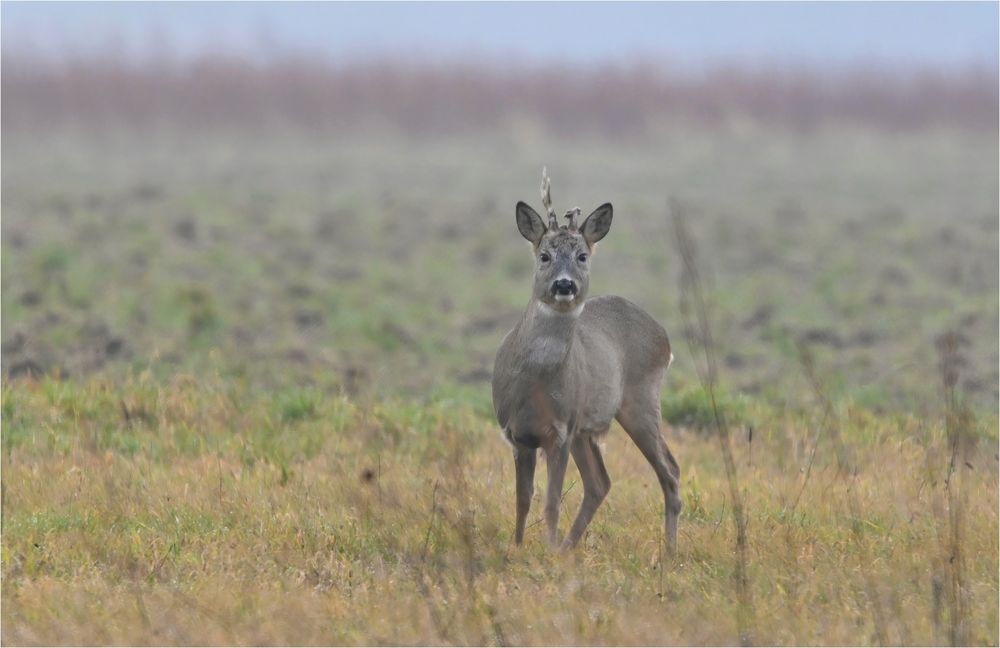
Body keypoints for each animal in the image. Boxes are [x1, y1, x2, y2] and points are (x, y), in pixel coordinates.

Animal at [490, 168, 684, 552]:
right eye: (544, 255)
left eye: (582, 255)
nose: (565, 285)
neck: (532, 384)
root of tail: (664, 338)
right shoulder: (517, 434)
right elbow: (522, 498)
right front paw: (518, 547)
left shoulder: (561, 429)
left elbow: (551, 500)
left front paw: (546, 550)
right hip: (588, 429)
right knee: (600, 482)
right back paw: (569, 547)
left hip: (639, 401)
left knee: (669, 470)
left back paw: (670, 551)